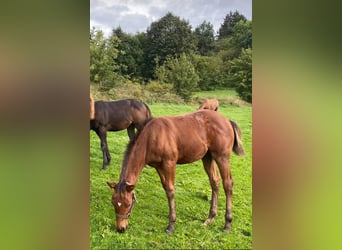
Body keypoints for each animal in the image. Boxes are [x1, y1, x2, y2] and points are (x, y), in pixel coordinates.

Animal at [108, 110, 244, 233]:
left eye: (128, 204)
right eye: (113, 203)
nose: (121, 228)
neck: (152, 137)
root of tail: (227, 120)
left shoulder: (170, 163)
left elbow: (170, 190)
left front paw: (171, 225)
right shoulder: (158, 166)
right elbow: (166, 188)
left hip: (222, 156)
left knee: (228, 184)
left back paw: (227, 224)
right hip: (208, 157)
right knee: (214, 181)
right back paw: (209, 219)